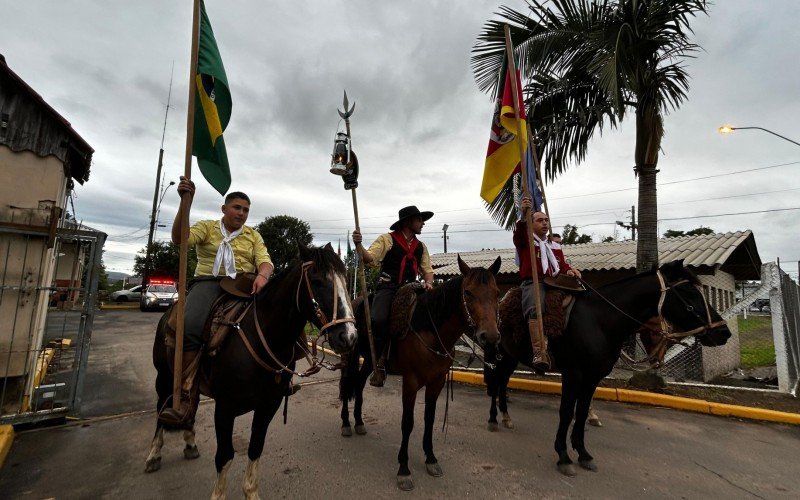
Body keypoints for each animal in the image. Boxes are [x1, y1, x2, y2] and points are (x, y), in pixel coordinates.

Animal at [145, 244, 356, 498]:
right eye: (317, 281)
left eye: (346, 279)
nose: (349, 336)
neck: (263, 336)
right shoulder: (224, 408)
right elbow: (224, 455)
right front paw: (218, 494)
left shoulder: (269, 405)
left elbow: (255, 448)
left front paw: (251, 492)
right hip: (164, 377)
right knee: (161, 409)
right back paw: (154, 454)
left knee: (189, 403)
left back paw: (189, 442)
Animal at [338, 256, 500, 490]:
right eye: (468, 292)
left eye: (497, 293)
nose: (491, 337)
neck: (431, 330)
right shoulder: (411, 382)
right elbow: (408, 422)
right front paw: (404, 469)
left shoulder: (437, 382)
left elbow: (429, 419)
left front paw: (431, 458)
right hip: (349, 355)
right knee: (346, 383)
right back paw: (345, 423)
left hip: (369, 360)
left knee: (358, 383)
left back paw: (358, 422)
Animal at [478, 262, 728, 476]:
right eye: (689, 293)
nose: (724, 332)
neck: (599, 320)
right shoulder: (573, 374)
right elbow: (566, 412)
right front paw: (563, 456)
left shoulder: (593, 376)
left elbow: (581, 411)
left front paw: (583, 453)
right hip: (498, 355)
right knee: (496, 382)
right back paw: (493, 419)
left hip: (511, 357)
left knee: (502, 382)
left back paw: (506, 417)